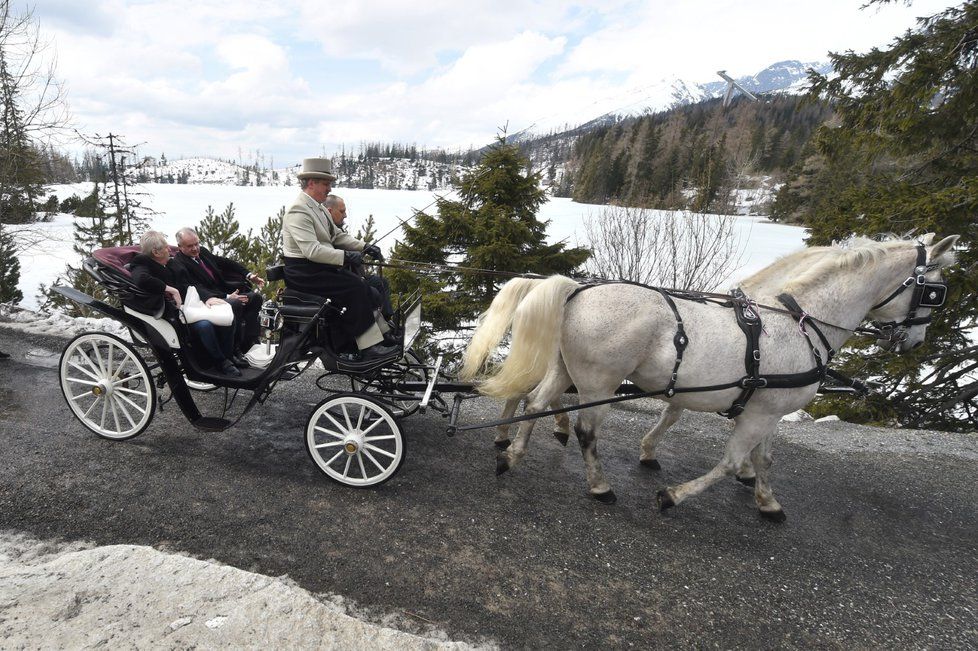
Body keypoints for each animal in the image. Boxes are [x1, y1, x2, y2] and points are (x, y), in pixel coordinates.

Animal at [462, 234, 956, 520]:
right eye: (934, 291)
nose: (914, 341)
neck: (799, 324)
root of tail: (579, 290)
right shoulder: (756, 412)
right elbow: (732, 460)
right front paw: (672, 496)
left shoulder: (768, 409)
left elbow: (763, 459)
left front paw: (766, 500)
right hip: (599, 381)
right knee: (584, 430)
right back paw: (599, 485)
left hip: (567, 369)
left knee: (536, 401)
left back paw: (512, 455)